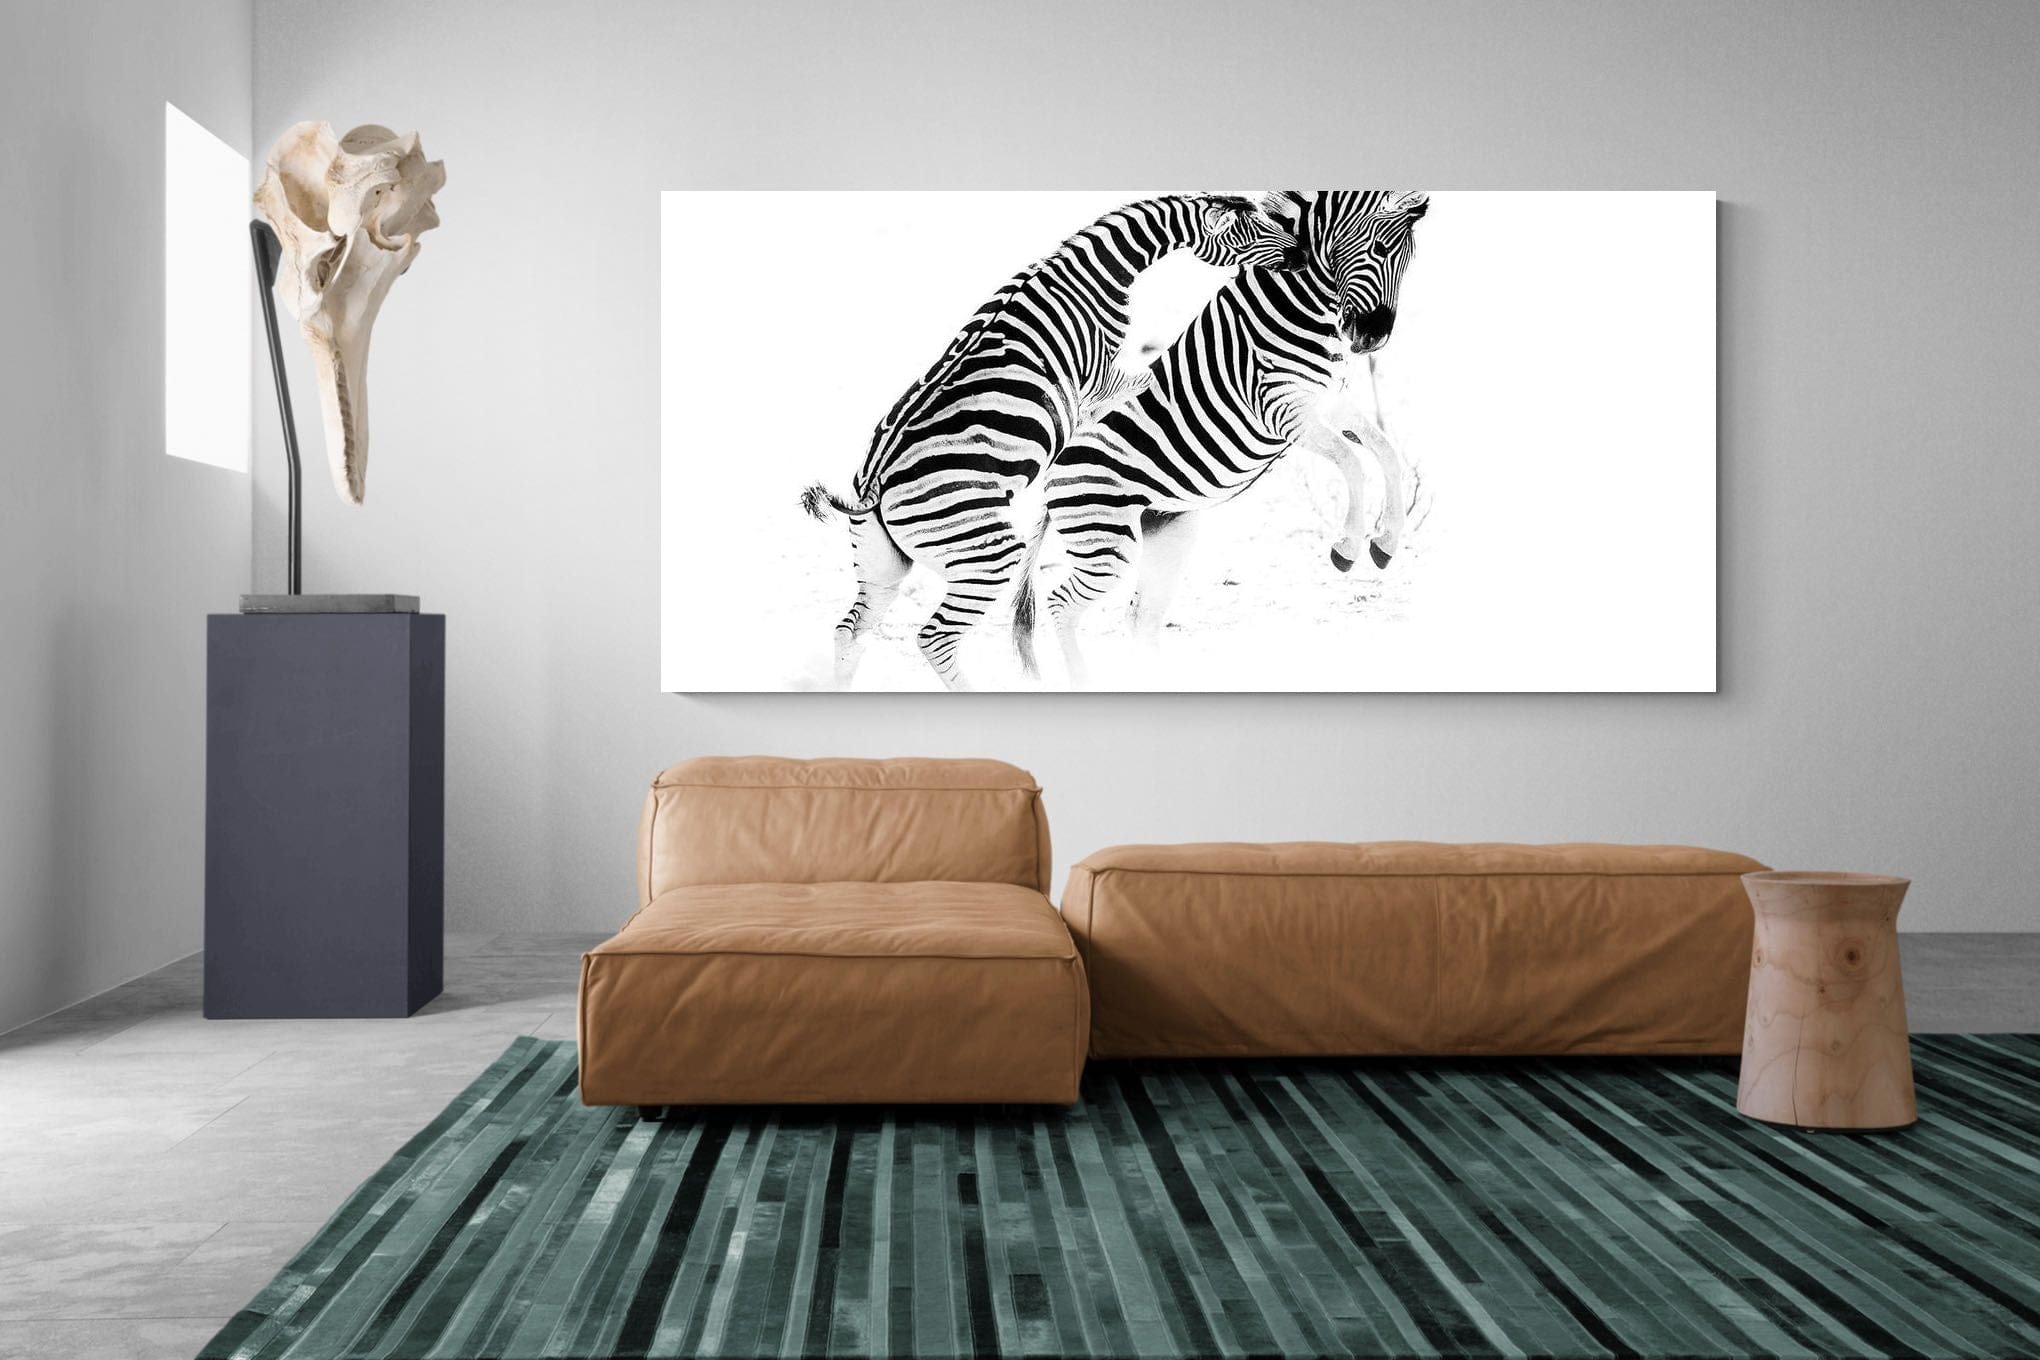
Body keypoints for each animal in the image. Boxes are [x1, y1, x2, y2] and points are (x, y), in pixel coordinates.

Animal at [799, 193, 1305, 690]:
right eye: (1253, 231)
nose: (1300, 254)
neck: (1092, 275)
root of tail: (875, 486)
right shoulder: (1099, 380)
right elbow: (1143, 384)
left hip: (882, 566)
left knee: (851, 630)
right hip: (988, 554)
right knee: (935, 637)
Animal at [1011, 190, 1430, 685]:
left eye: (1411, 260)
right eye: (1382, 250)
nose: (1372, 339)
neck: (1296, 303)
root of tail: (1048, 476)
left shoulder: (1329, 400)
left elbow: (1385, 451)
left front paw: (1385, 542)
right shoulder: (1282, 409)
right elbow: (1352, 461)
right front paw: (1347, 547)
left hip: (1168, 532)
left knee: (1140, 618)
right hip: (1107, 539)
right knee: (1061, 604)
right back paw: (1084, 681)